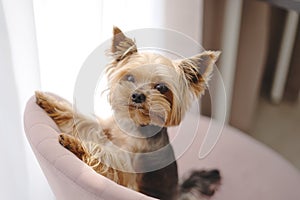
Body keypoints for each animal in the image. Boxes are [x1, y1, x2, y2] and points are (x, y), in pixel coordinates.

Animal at [35, 27, 223, 200]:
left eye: (161, 87)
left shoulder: (127, 166)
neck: (133, 123)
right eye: (130, 78)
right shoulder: (106, 130)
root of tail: (178, 193)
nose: (137, 95)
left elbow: (105, 155)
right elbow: (84, 122)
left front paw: (75, 144)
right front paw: (49, 102)